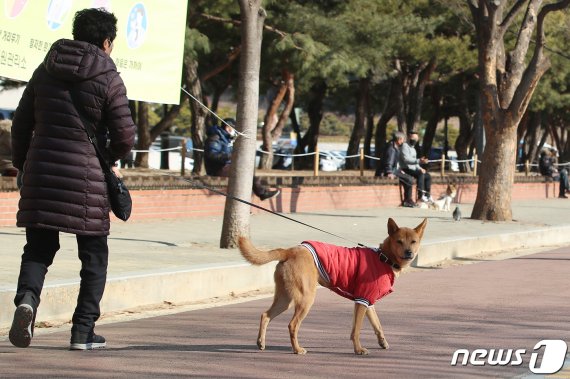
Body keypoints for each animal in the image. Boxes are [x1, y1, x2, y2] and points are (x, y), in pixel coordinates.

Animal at [236, 218, 426, 354]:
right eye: (399, 241)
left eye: (414, 241)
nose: (409, 253)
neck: (384, 258)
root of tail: (290, 250)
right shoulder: (361, 302)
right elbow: (356, 330)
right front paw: (358, 350)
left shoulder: (368, 302)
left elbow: (377, 325)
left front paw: (382, 342)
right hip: (305, 299)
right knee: (292, 325)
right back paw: (297, 349)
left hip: (285, 298)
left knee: (265, 315)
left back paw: (261, 342)